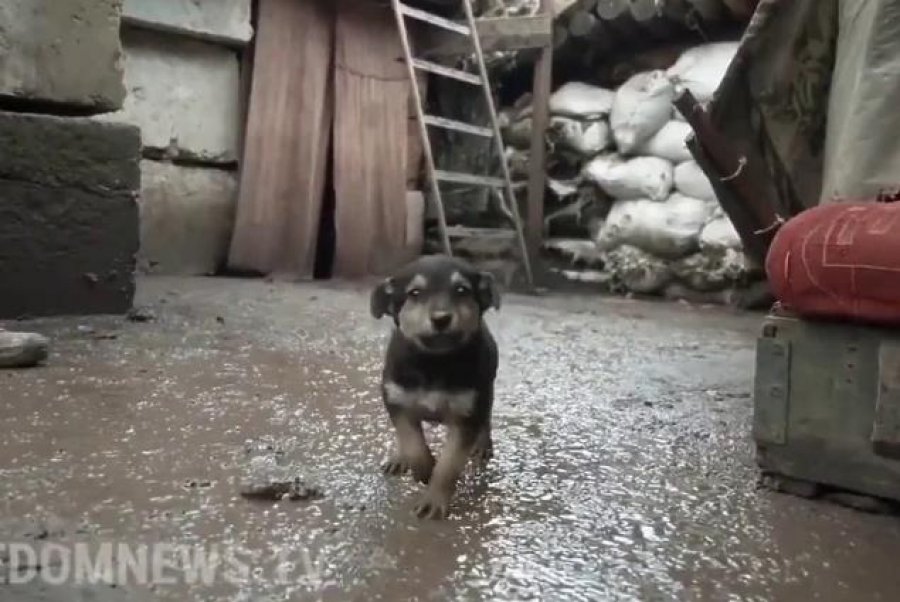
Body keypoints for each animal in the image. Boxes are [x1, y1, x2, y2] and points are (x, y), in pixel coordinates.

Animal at [370, 252, 502, 516]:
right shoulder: (395, 400)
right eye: (415, 293)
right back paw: (399, 458)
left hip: (486, 392)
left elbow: (448, 465)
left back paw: (483, 445)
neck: (434, 362)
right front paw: (422, 468)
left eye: (461, 290)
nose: (441, 319)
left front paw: (434, 501)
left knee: (487, 419)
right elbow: (411, 440)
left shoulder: (467, 415)